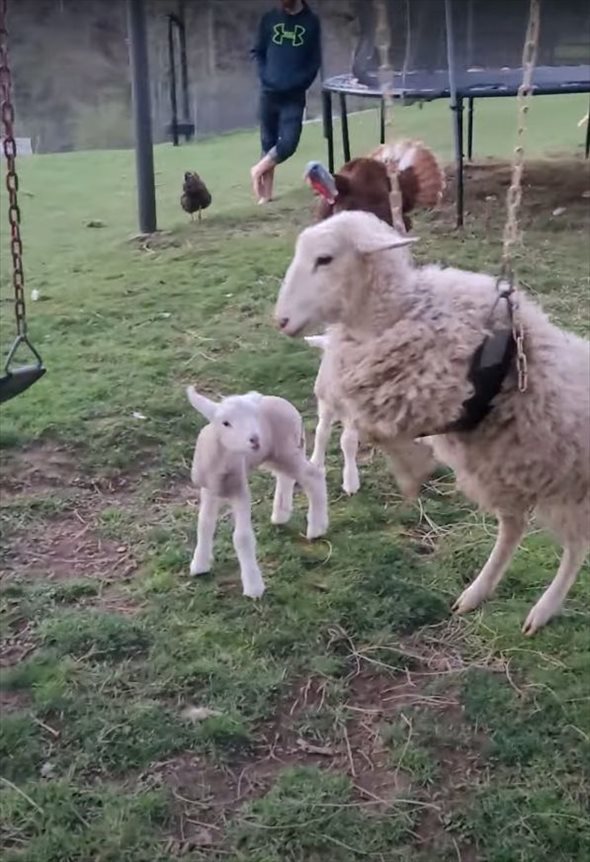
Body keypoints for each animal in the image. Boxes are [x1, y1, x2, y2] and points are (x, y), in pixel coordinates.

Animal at [187, 386, 330, 600]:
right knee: (286, 477)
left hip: (287, 450)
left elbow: (242, 537)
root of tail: (286, 403)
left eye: (254, 417)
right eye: (225, 423)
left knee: (314, 476)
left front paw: (253, 587)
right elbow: (204, 525)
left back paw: (316, 527)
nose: (255, 440)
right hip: (276, 455)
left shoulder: (240, 491)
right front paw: (200, 565)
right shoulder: (210, 490)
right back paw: (280, 514)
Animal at [276, 214, 590, 636]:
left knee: (575, 547)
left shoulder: (438, 393)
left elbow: (375, 430)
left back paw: (543, 609)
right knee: (515, 527)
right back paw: (477, 592)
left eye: (324, 259)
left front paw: (412, 468)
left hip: (568, 489)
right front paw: (410, 470)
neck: (397, 312)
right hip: (509, 471)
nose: (281, 321)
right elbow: (372, 431)